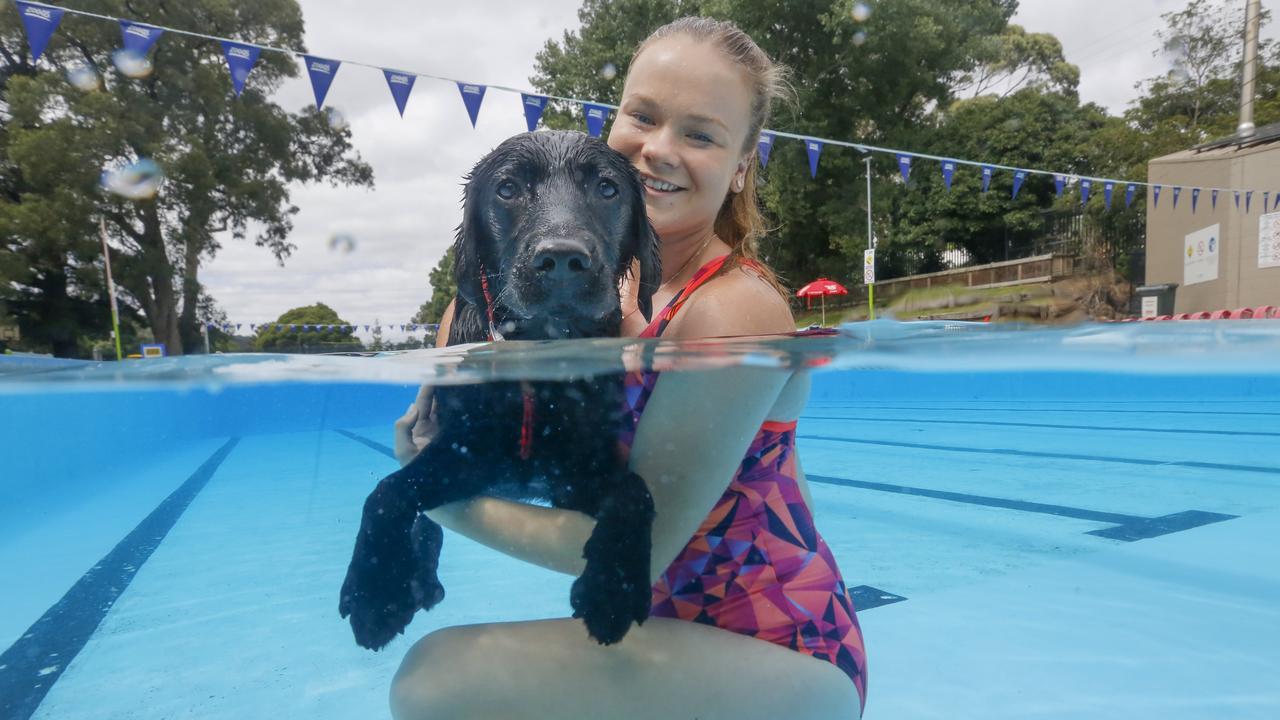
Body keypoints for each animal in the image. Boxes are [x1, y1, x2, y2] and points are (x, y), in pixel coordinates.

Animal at [340, 130, 660, 650]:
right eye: (507, 189)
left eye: (607, 189)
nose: (563, 260)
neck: (538, 351)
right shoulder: (466, 451)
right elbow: (388, 492)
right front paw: (375, 595)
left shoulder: (575, 470)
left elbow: (635, 490)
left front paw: (612, 590)